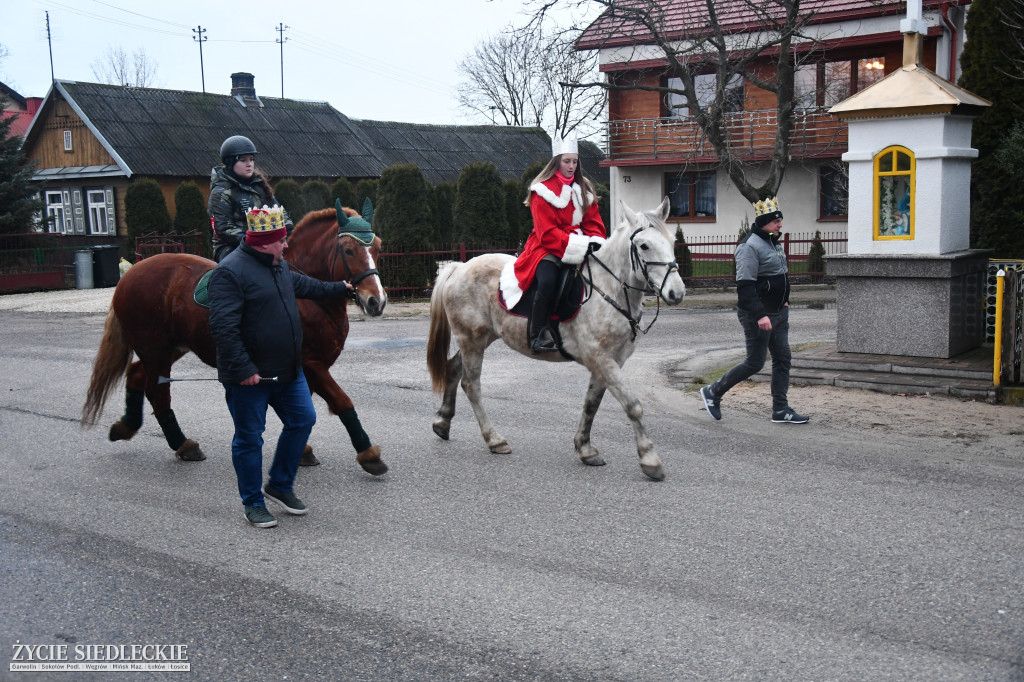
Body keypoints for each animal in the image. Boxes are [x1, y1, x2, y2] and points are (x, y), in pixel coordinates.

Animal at [80, 202, 387, 473]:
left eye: (378, 248)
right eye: (348, 250)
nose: (377, 301)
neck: (306, 295)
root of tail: (131, 273)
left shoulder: (302, 370)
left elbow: (302, 409)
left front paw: (301, 451)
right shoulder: (311, 364)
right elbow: (342, 401)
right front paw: (368, 454)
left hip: (169, 348)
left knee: (136, 375)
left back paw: (127, 426)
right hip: (154, 349)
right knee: (157, 392)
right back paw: (182, 444)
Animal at [428, 199, 684, 481]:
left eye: (672, 241)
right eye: (644, 245)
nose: (677, 293)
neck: (609, 289)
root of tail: (459, 267)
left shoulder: (610, 361)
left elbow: (591, 404)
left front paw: (585, 449)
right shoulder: (602, 360)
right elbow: (633, 405)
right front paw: (650, 460)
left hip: (480, 339)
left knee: (453, 369)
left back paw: (442, 422)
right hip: (472, 340)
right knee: (471, 385)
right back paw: (494, 440)